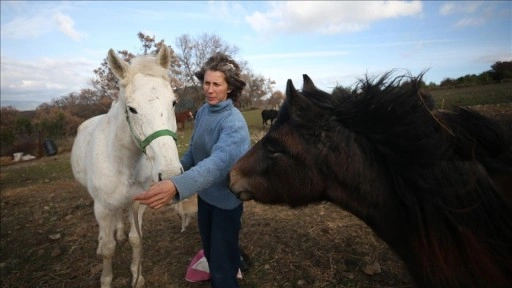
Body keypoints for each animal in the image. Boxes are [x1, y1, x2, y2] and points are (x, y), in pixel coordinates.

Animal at [71, 46, 183, 286]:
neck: (122, 161)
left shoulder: (138, 204)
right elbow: (108, 249)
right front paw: (106, 280)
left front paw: (136, 276)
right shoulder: (102, 208)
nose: (170, 174)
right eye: (131, 109)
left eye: (173, 102)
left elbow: (135, 240)